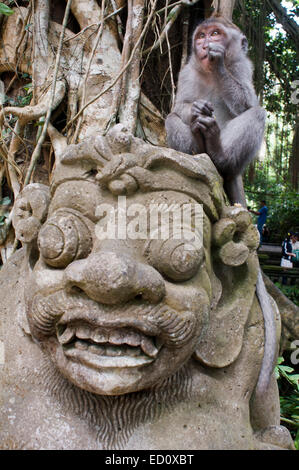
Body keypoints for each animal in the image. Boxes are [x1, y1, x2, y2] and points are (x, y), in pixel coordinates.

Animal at [165, 14, 278, 398]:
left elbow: (247, 102)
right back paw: (197, 150)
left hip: (236, 160)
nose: (203, 44)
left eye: (216, 34)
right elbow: (180, 105)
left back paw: (217, 150)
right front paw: (193, 108)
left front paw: (219, 63)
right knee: (175, 119)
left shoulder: (244, 66)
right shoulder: (186, 71)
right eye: (200, 35)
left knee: (257, 114)